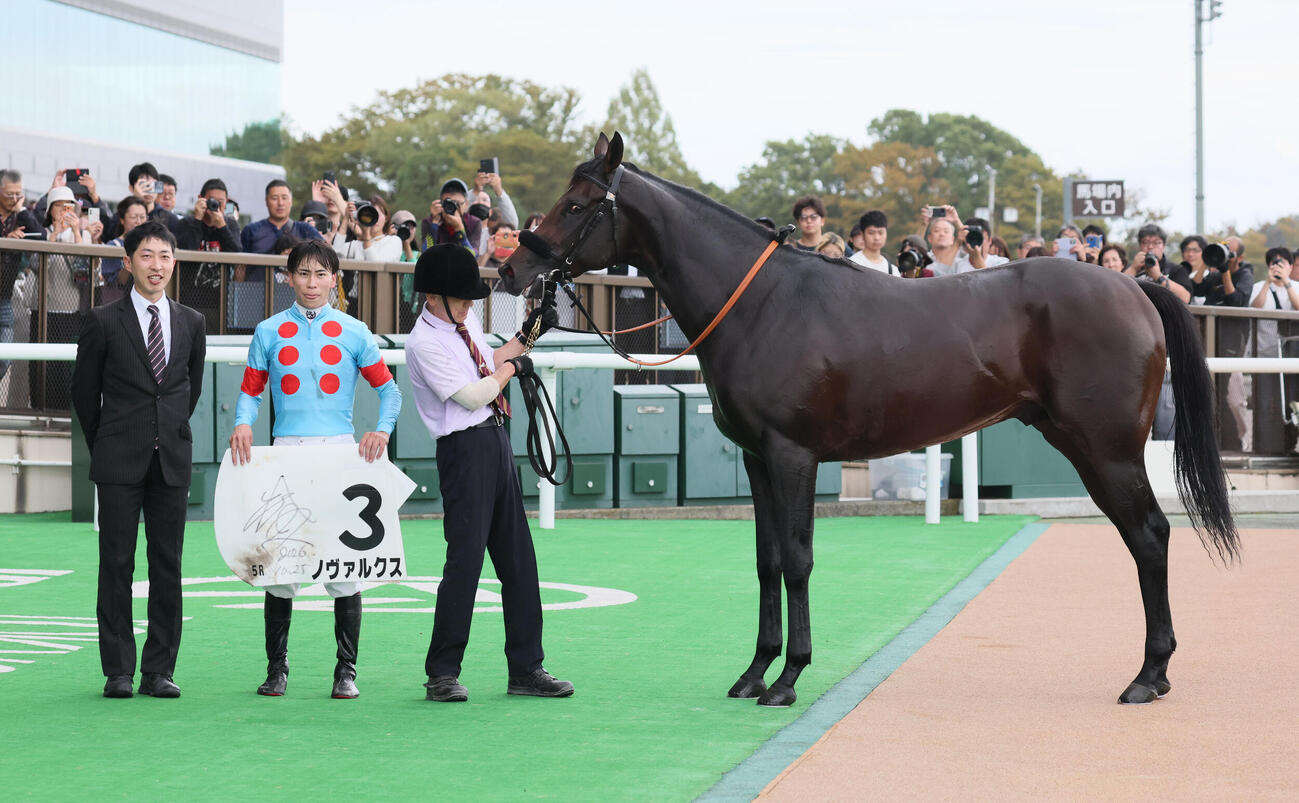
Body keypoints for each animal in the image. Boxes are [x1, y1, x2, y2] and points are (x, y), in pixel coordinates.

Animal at [498, 132, 1238, 708]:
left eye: (578, 203)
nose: (514, 268)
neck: (761, 304)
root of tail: (1134, 285)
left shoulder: (793, 454)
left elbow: (797, 558)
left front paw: (788, 678)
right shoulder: (757, 460)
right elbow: (767, 560)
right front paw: (753, 672)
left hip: (1104, 450)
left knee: (1149, 537)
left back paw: (1148, 674)